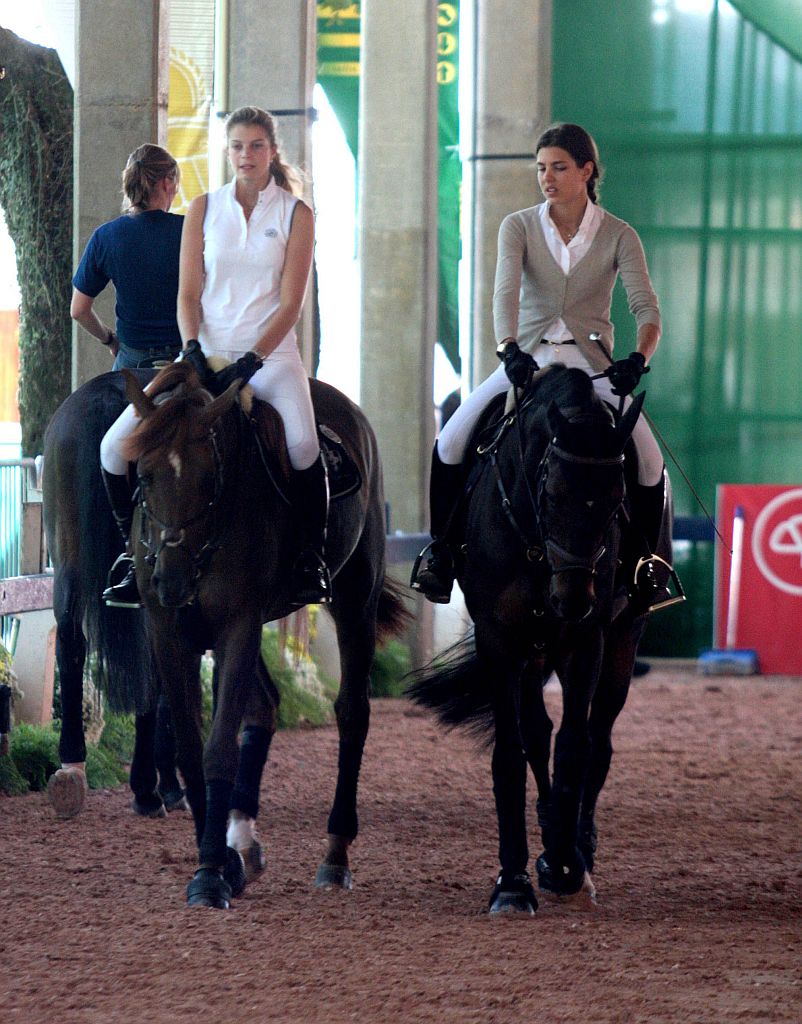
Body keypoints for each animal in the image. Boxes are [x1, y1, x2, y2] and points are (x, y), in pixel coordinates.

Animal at [119, 360, 409, 908]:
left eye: (208, 477)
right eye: (142, 475)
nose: (171, 580)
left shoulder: (238, 623)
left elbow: (218, 749)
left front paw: (211, 874)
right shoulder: (167, 630)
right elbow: (191, 750)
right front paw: (220, 861)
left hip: (354, 601)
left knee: (351, 713)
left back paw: (334, 856)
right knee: (266, 705)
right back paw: (244, 843)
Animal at [408, 364, 676, 914]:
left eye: (617, 502)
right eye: (552, 494)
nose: (571, 599)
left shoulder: (587, 639)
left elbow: (576, 744)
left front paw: (566, 865)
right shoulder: (499, 639)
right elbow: (511, 751)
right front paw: (513, 882)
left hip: (621, 639)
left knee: (599, 737)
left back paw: (576, 843)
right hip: (532, 652)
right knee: (535, 732)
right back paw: (551, 827)